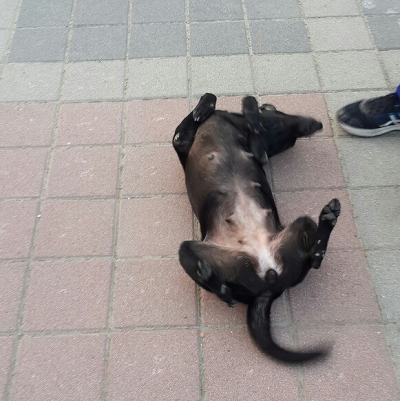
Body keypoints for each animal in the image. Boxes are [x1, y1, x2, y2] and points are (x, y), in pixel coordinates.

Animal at [172, 93, 340, 364]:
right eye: (289, 129)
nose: (316, 124)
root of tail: (268, 284)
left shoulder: (257, 151)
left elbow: (246, 103)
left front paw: (213, 107)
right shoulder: (182, 141)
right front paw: (206, 108)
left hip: (299, 226)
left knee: (314, 257)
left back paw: (327, 221)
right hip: (191, 250)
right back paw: (212, 280)